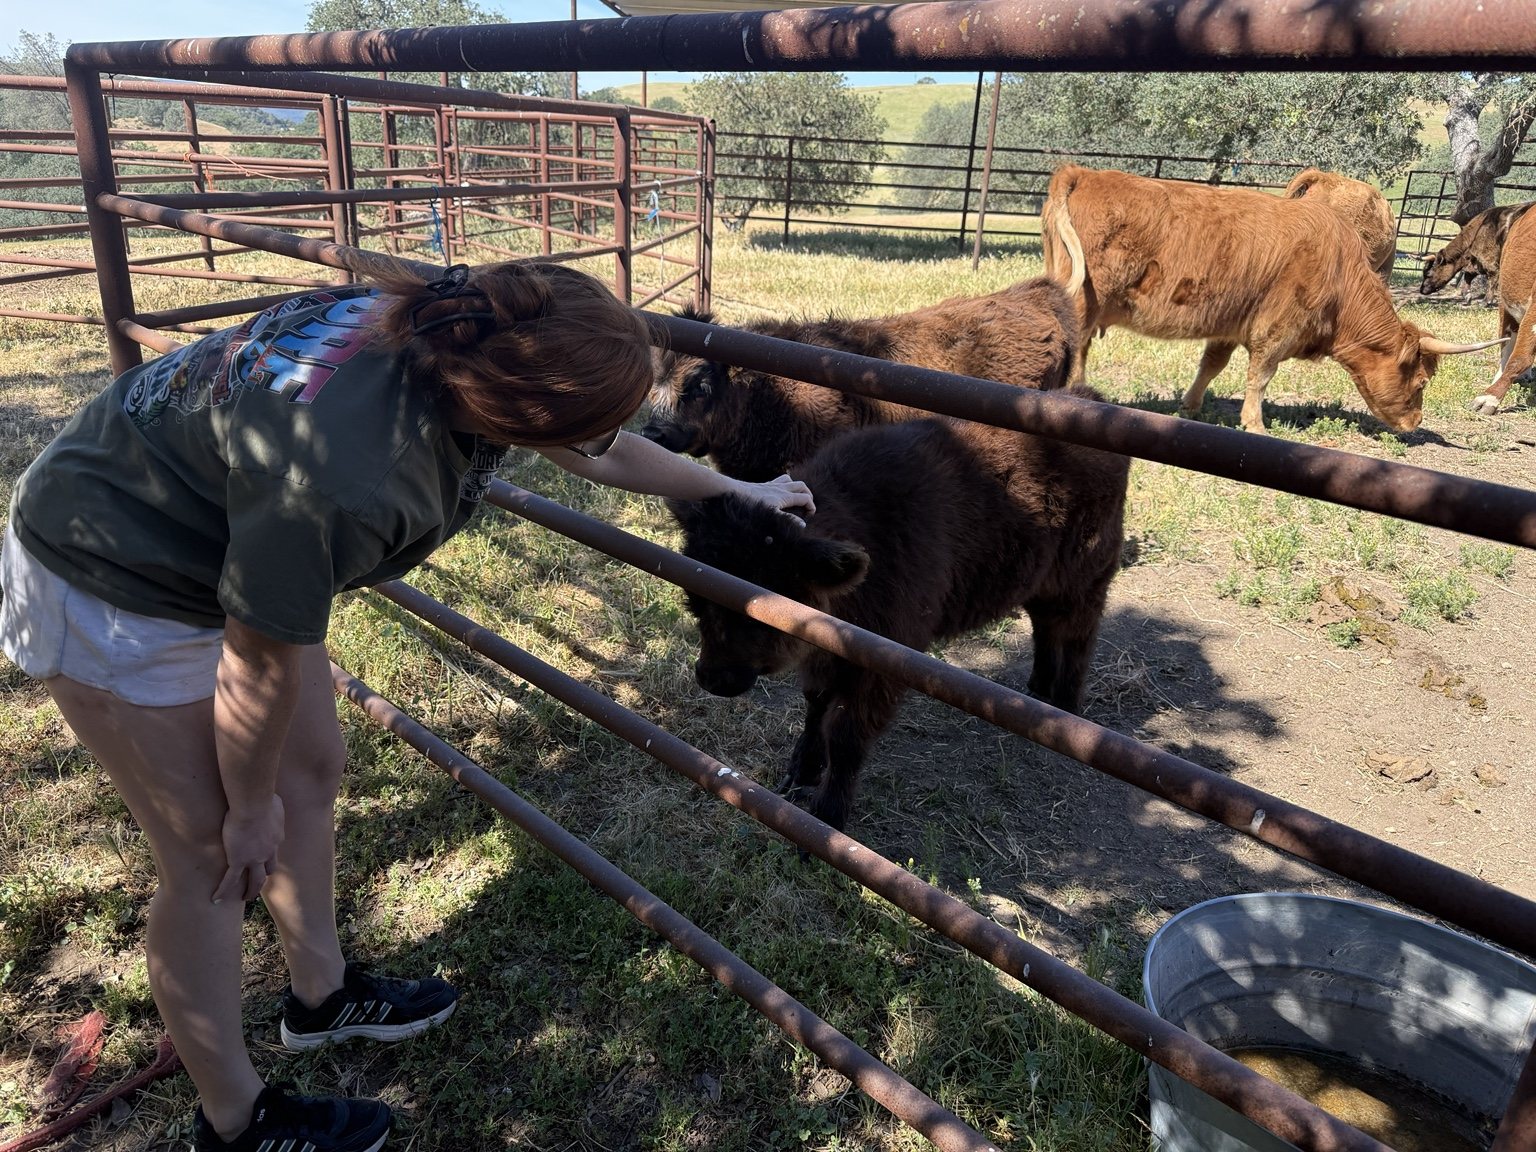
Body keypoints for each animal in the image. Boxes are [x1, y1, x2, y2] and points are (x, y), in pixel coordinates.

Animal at [668, 389, 1129, 831]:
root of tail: (1094, 399)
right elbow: (816, 706)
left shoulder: (881, 664)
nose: (711, 677)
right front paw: (801, 773)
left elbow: (846, 735)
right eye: (695, 601)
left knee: (1078, 635)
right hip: (1043, 583)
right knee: (1045, 627)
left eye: (757, 611)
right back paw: (1039, 692)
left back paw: (1066, 707)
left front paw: (828, 816)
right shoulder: (828, 655)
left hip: (1083, 580)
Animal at [1040, 164, 1503, 434]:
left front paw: (1190, 407)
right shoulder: (1276, 329)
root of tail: (1082, 171)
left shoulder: (1230, 323)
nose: (1415, 422)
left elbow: (1211, 365)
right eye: (1422, 382)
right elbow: (1259, 377)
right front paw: (1255, 424)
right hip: (1085, 302)